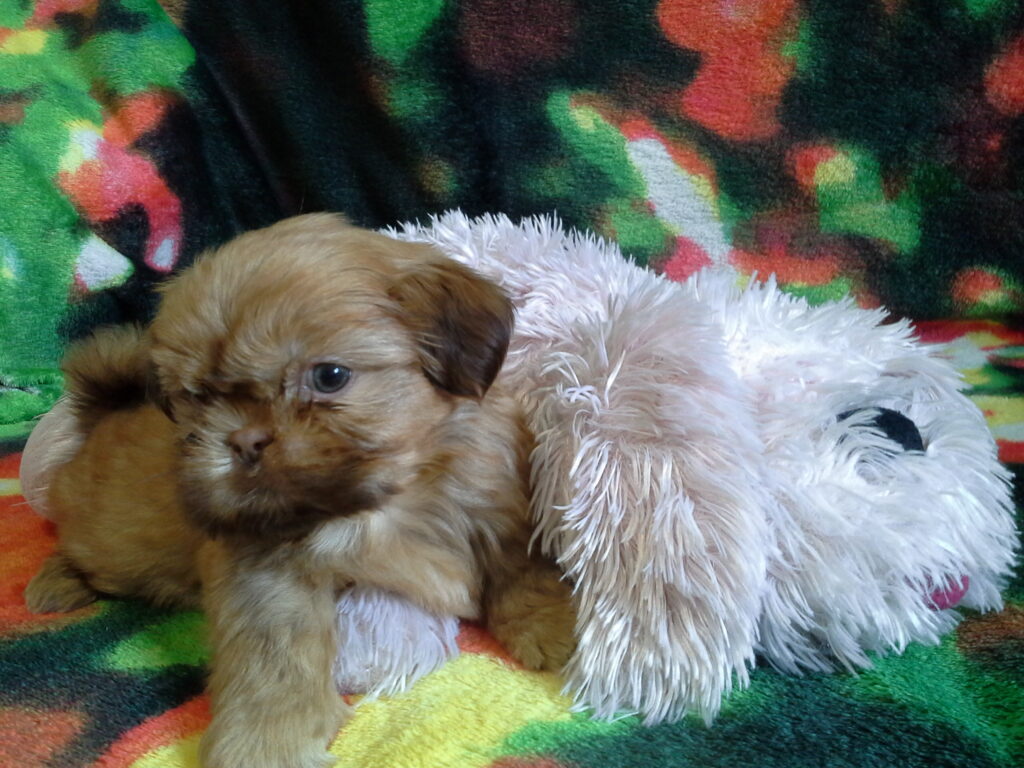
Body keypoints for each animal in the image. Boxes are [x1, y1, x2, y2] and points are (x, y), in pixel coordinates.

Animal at [24, 215, 577, 768]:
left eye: (329, 377)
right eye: (197, 397)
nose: (243, 439)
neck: (388, 501)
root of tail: (104, 415)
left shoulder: (500, 501)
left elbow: (523, 569)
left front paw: (556, 628)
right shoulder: (264, 572)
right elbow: (274, 658)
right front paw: (266, 742)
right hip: (118, 542)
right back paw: (59, 581)